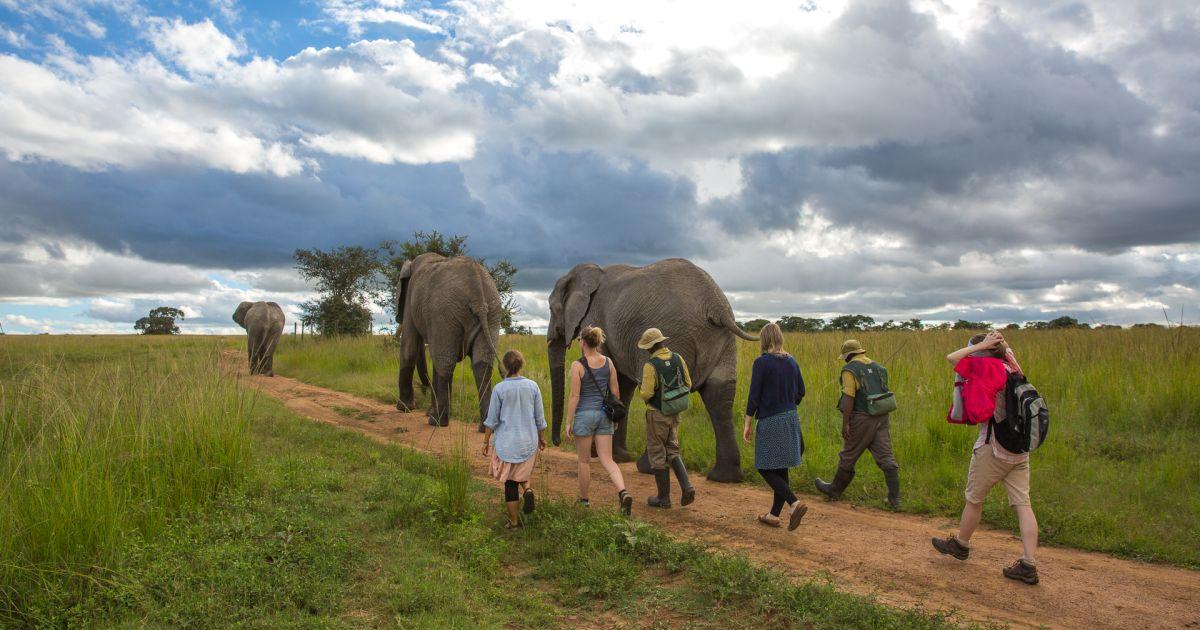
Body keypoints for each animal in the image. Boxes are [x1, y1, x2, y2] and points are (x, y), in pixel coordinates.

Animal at [395, 253, 502, 428]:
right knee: (482, 364)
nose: (424, 389)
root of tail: (478, 295)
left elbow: (409, 348)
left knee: (445, 363)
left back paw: (437, 421)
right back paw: (485, 427)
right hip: (492, 313)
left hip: (444, 313)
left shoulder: (411, 299)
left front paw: (404, 408)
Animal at [546, 258, 758, 483]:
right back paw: (725, 477)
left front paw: (601, 453)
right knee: (719, 396)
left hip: (672, 333)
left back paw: (648, 467)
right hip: (723, 339)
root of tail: (715, 305)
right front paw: (618, 457)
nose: (557, 441)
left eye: (551, 308)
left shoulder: (595, 321)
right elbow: (621, 385)